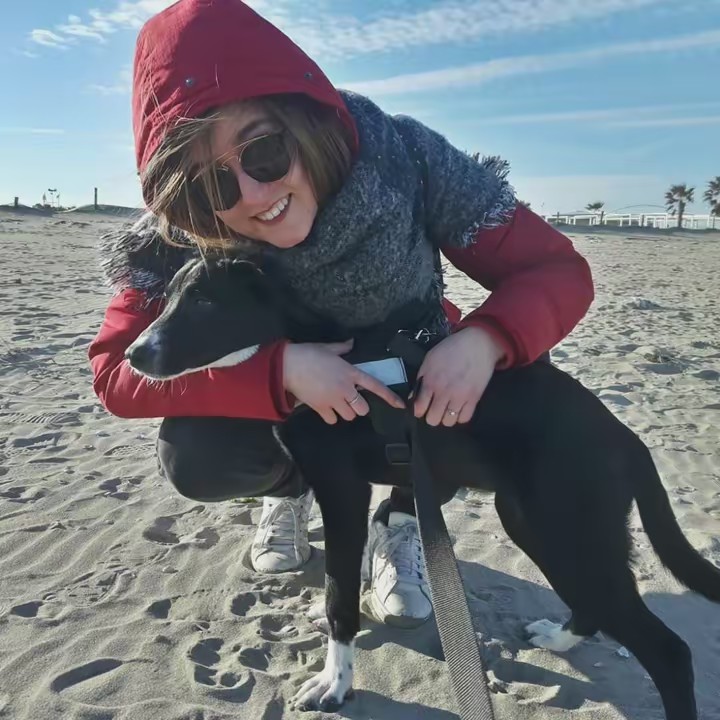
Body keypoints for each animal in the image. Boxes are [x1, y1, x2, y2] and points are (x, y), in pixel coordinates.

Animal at [126, 256, 720, 719]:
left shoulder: (343, 491)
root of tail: (626, 437)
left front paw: (334, 683)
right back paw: (558, 638)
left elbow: (340, 596)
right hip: (535, 523)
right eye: (171, 296)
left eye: (205, 302)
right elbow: (343, 577)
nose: (134, 355)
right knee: (597, 608)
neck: (327, 351)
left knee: (668, 652)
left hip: (567, 528)